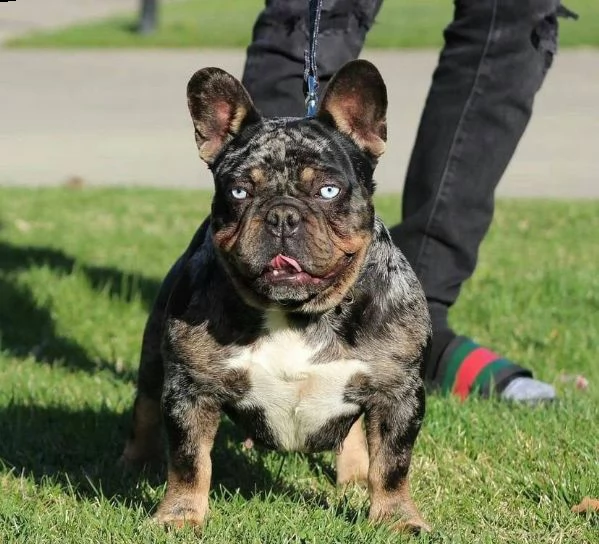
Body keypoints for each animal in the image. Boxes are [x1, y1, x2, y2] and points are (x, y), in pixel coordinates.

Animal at [120, 58, 432, 532]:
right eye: (238, 191)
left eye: (328, 190)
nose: (282, 215)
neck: (296, 313)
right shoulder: (190, 389)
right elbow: (190, 461)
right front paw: (180, 516)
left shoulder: (397, 392)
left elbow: (393, 464)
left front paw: (396, 519)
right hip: (154, 357)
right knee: (144, 407)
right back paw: (133, 462)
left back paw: (354, 477)